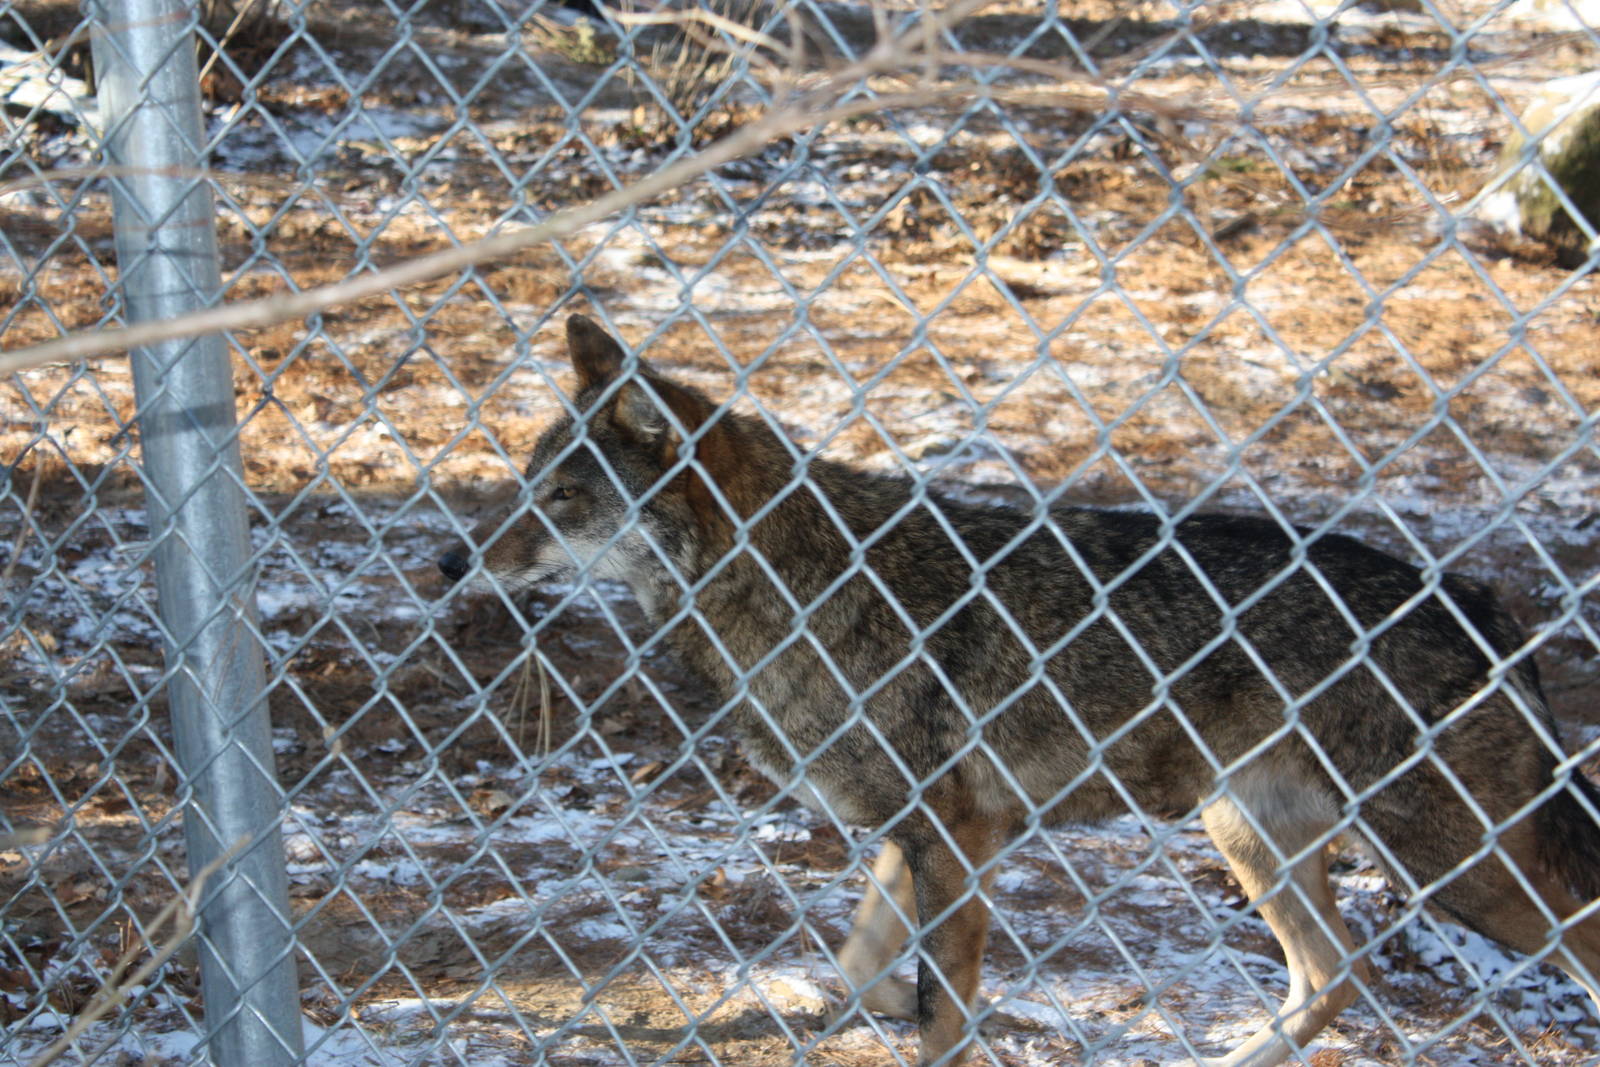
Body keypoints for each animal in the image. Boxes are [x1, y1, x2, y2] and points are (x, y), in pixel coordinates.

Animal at [438, 314, 1600, 1066]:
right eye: (525, 481)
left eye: (562, 496)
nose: (449, 560)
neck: (802, 588)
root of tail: (1489, 605)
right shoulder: (924, 835)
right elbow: (865, 971)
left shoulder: (959, 835)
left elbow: (940, 1020)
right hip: (1249, 836)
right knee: (1334, 976)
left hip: (1462, 869)